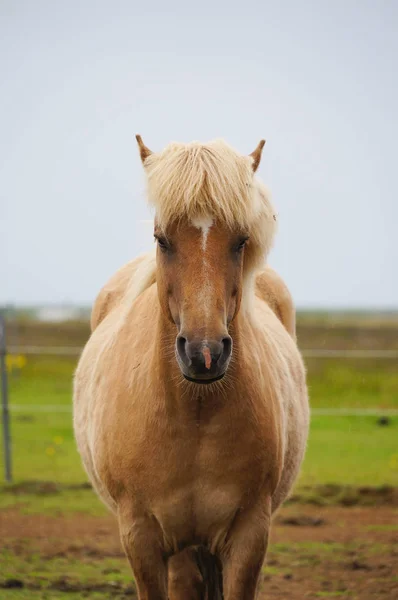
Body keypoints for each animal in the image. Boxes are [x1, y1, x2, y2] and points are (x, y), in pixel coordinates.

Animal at [74, 137, 310, 600]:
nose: (204, 353)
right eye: (161, 239)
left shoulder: (249, 537)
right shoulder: (142, 538)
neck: (196, 414)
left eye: (241, 240)